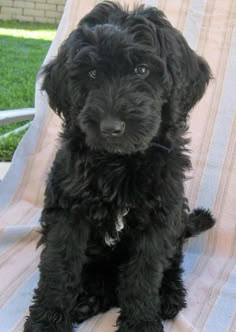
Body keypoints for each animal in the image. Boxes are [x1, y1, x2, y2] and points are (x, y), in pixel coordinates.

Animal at [24, 1, 216, 330]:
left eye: (142, 70)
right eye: (91, 73)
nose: (111, 127)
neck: (120, 162)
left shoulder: (159, 216)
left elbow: (144, 274)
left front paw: (141, 322)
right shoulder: (68, 210)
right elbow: (59, 266)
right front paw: (47, 320)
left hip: (177, 220)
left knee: (172, 264)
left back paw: (168, 296)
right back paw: (89, 299)